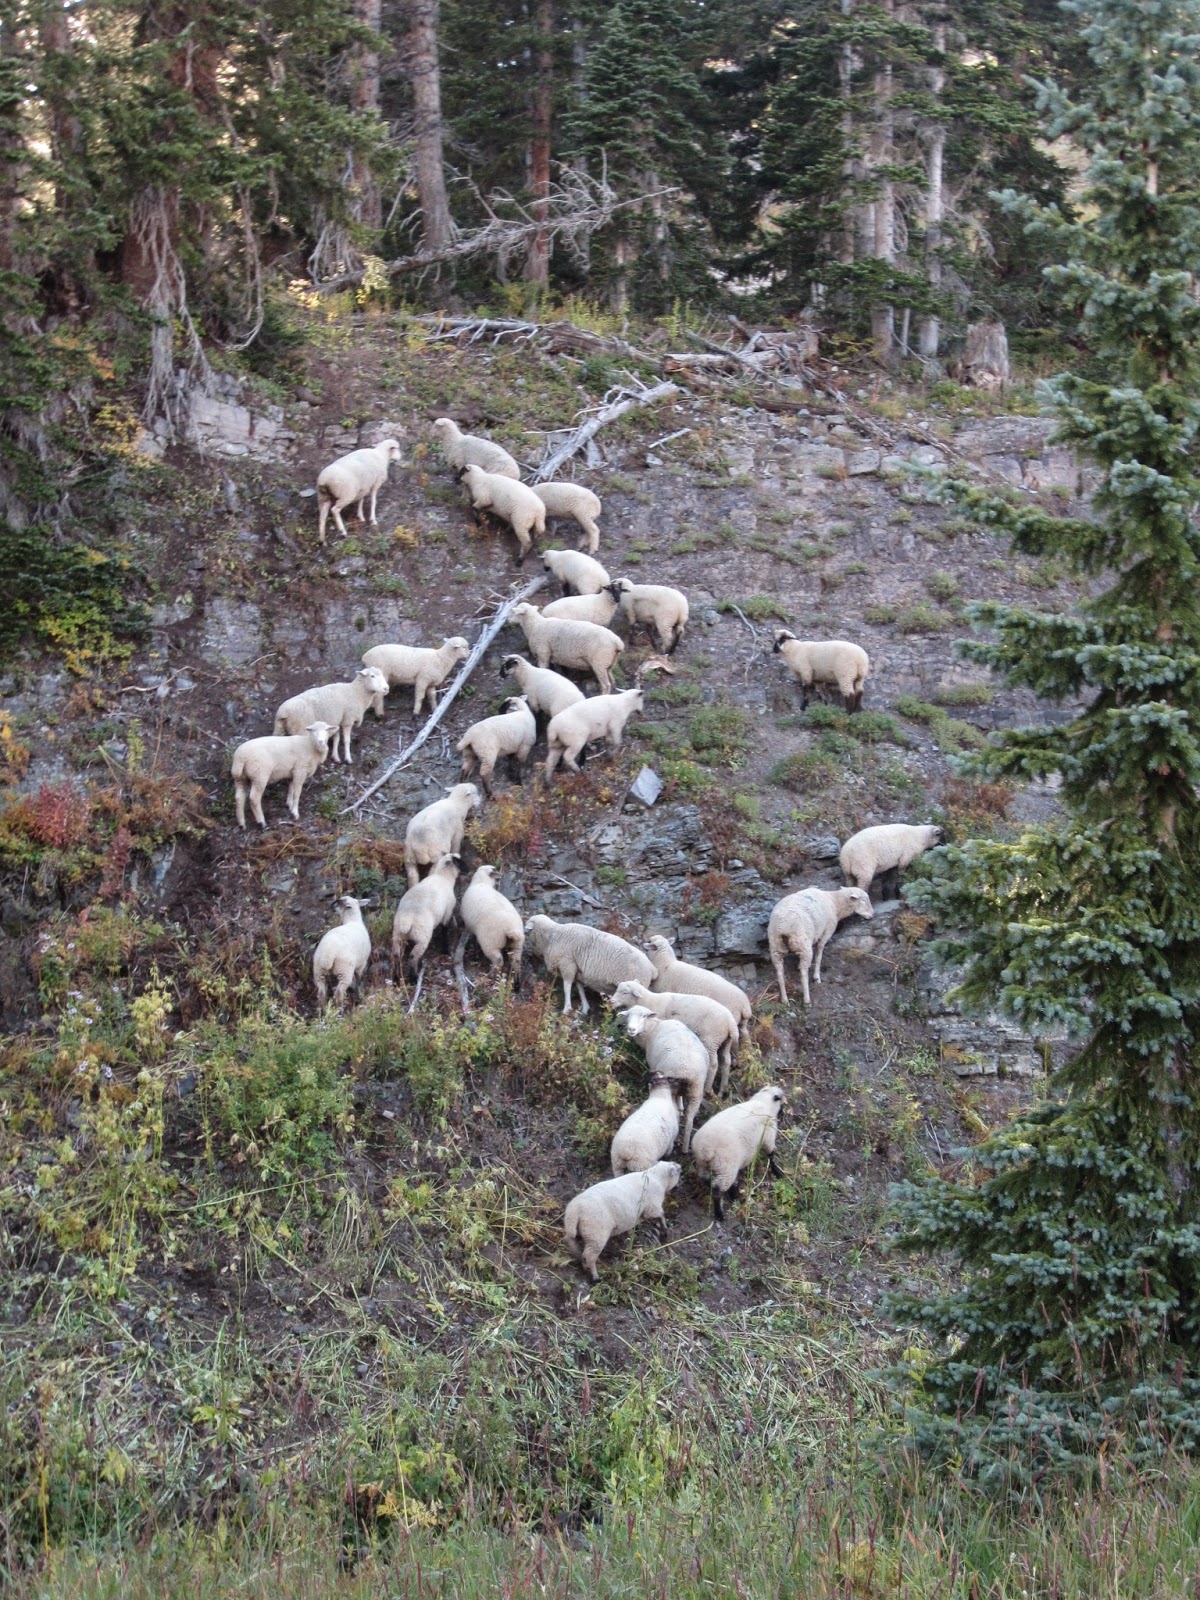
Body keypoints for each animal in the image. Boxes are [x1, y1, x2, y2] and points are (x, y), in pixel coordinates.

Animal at [523, 915, 655, 1014]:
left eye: (527, 932)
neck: (552, 936)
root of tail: (652, 968)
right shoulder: (578, 971)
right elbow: (580, 988)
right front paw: (585, 1008)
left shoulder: (568, 964)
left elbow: (567, 987)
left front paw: (567, 1008)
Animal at [609, 980, 739, 1096]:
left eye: (625, 992)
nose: (611, 1001)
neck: (649, 1001)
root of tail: (730, 1022)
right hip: (725, 1041)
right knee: (726, 1062)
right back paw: (722, 1091)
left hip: (710, 1039)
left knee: (713, 1064)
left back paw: (708, 1088)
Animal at [621, 1006, 710, 1154]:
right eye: (628, 1015)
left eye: (644, 1016)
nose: (631, 1029)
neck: (653, 1028)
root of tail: (687, 1071)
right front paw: (681, 1107)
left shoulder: (653, 1066)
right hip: (696, 1090)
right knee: (690, 1119)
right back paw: (685, 1147)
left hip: (671, 1083)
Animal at [690, 1086, 786, 1222]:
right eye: (781, 1100)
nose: (783, 1113)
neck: (763, 1103)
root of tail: (705, 1149)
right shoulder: (768, 1136)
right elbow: (771, 1154)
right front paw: (777, 1172)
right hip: (725, 1168)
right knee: (717, 1190)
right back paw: (720, 1213)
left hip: (704, 1164)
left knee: (705, 1179)